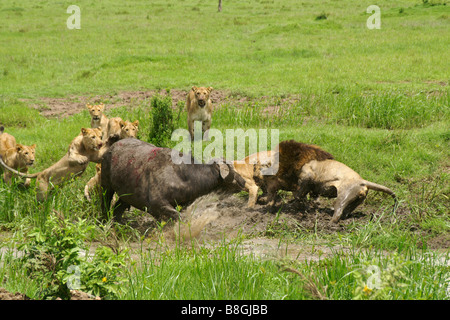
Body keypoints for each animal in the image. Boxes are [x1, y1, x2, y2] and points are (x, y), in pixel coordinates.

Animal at [101, 138, 246, 222]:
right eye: (234, 175)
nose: (244, 181)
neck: (182, 177)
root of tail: (111, 148)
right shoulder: (157, 205)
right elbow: (178, 218)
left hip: (125, 195)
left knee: (118, 208)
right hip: (106, 187)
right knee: (105, 203)